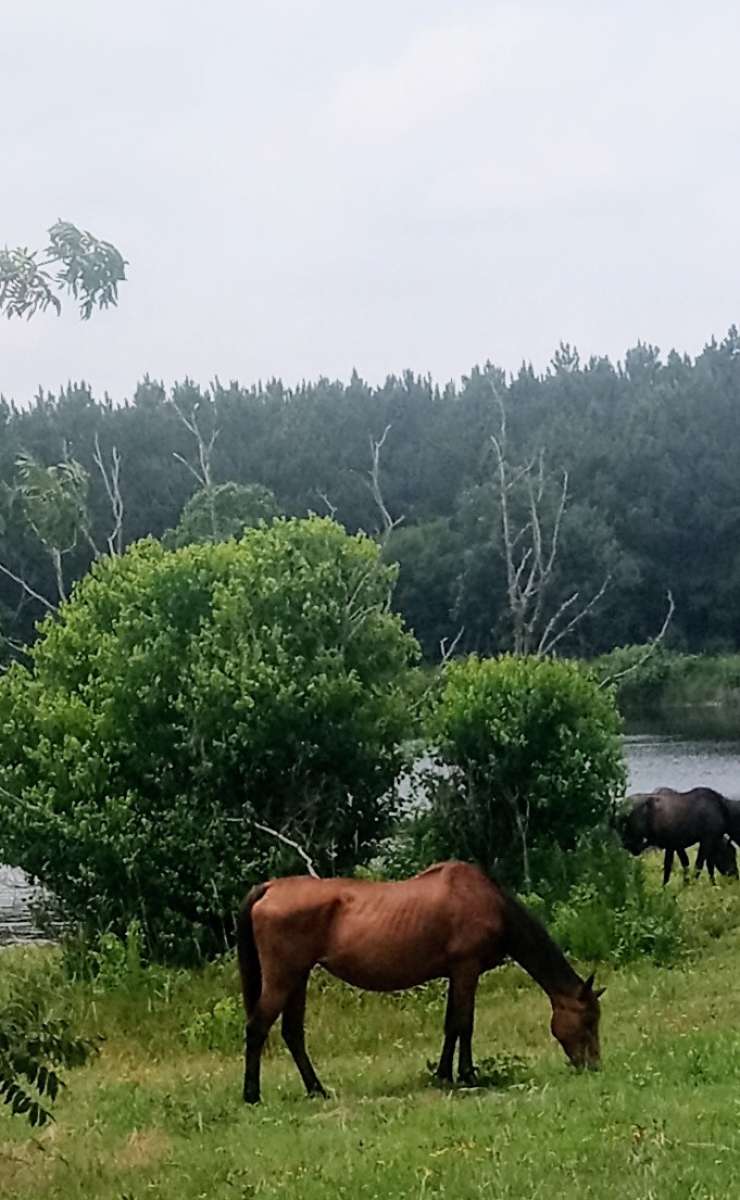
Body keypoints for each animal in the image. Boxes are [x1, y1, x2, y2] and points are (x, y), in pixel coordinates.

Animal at [236, 860, 604, 1104]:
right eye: (588, 1020)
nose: (593, 1066)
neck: (488, 901)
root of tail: (269, 888)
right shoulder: (466, 969)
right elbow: (464, 1023)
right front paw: (468, 1075)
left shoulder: (455, 973)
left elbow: (451, 1026)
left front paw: (443, 1074)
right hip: (283, 978)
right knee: (257, 1028)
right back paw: (252, 1095)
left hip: (298, 979)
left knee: (292, 1034)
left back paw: (317, 1089)